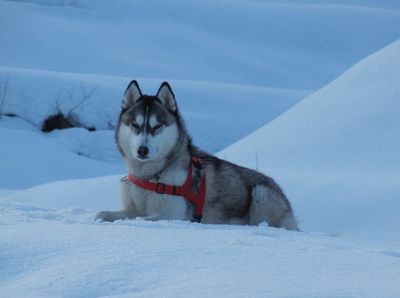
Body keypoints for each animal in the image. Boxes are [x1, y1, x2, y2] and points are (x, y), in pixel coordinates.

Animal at [95, 79, 298, 230]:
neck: (150, 177)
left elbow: (143, 218)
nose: (142, 150)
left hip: (261, 193)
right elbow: (102, 213)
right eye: (135, 125)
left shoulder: (173, 215)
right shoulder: (133, 208)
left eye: (157, 126)